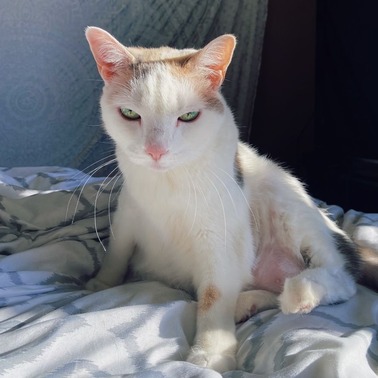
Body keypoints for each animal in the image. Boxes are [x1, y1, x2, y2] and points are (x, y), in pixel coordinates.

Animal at [85, 26, 364, 372]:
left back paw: (301, 293)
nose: (156, 151)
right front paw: (100, 284)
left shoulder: (220, 234)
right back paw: (249, 302)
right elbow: (117, 251)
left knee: (342, 279)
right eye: (129, 113)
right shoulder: (128, 210)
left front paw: (211, 351)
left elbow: (214, 293)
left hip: (287, 203)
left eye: (189, 116)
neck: (169, 180)